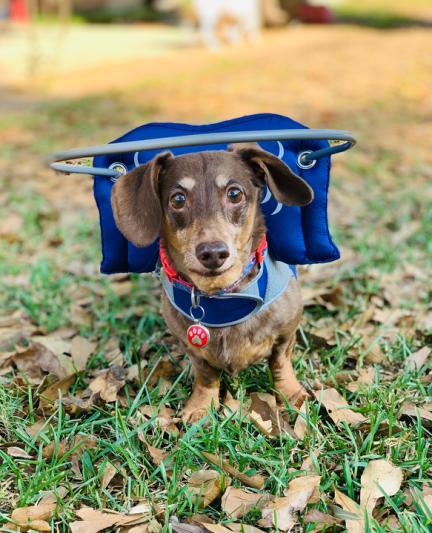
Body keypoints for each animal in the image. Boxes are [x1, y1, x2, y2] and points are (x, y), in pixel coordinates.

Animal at [111, 143, 314, 422]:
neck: (224, 298)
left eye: (235, 194)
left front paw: (291, 394)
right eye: (178, 199)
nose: (213, 253)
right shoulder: (194, 350)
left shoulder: (286, 332)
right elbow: (206, 375)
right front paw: (200, 406)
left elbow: (280, 362)